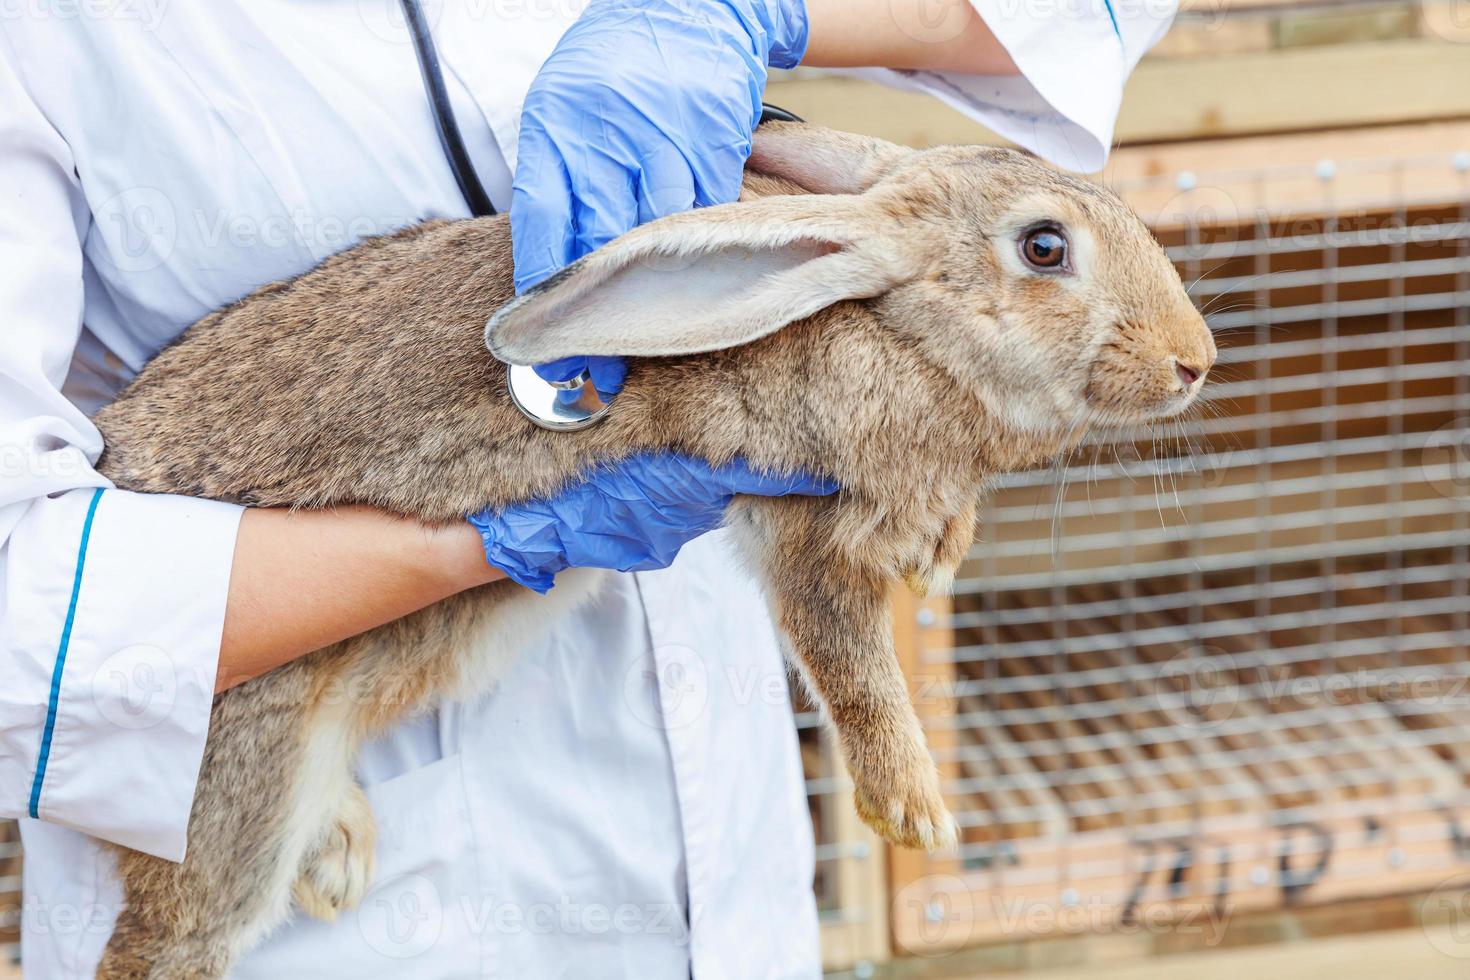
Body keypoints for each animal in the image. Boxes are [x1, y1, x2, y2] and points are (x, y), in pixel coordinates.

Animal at [94, 124, 1217, 980]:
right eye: (1044, 248)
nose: (1196, 360)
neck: (897, 327)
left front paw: (943, 550)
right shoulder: (802, 523)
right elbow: (853, 668)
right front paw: (916, 811)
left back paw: (340, 854)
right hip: (236, 770)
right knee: (169, 930)